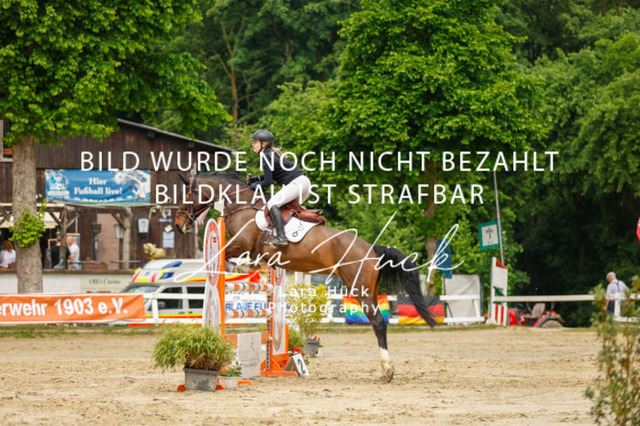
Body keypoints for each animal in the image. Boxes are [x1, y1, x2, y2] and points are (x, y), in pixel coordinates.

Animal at [175, 171, 436, 381]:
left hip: (359, 289)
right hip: (369, 289)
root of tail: (371, 249)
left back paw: (388, 370)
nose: (178, 224)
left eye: (186, 195)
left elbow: (225, 255)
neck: (243, 206)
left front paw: (237, 268)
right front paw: (242, 270)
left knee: (378, 323)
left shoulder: (242, 245)